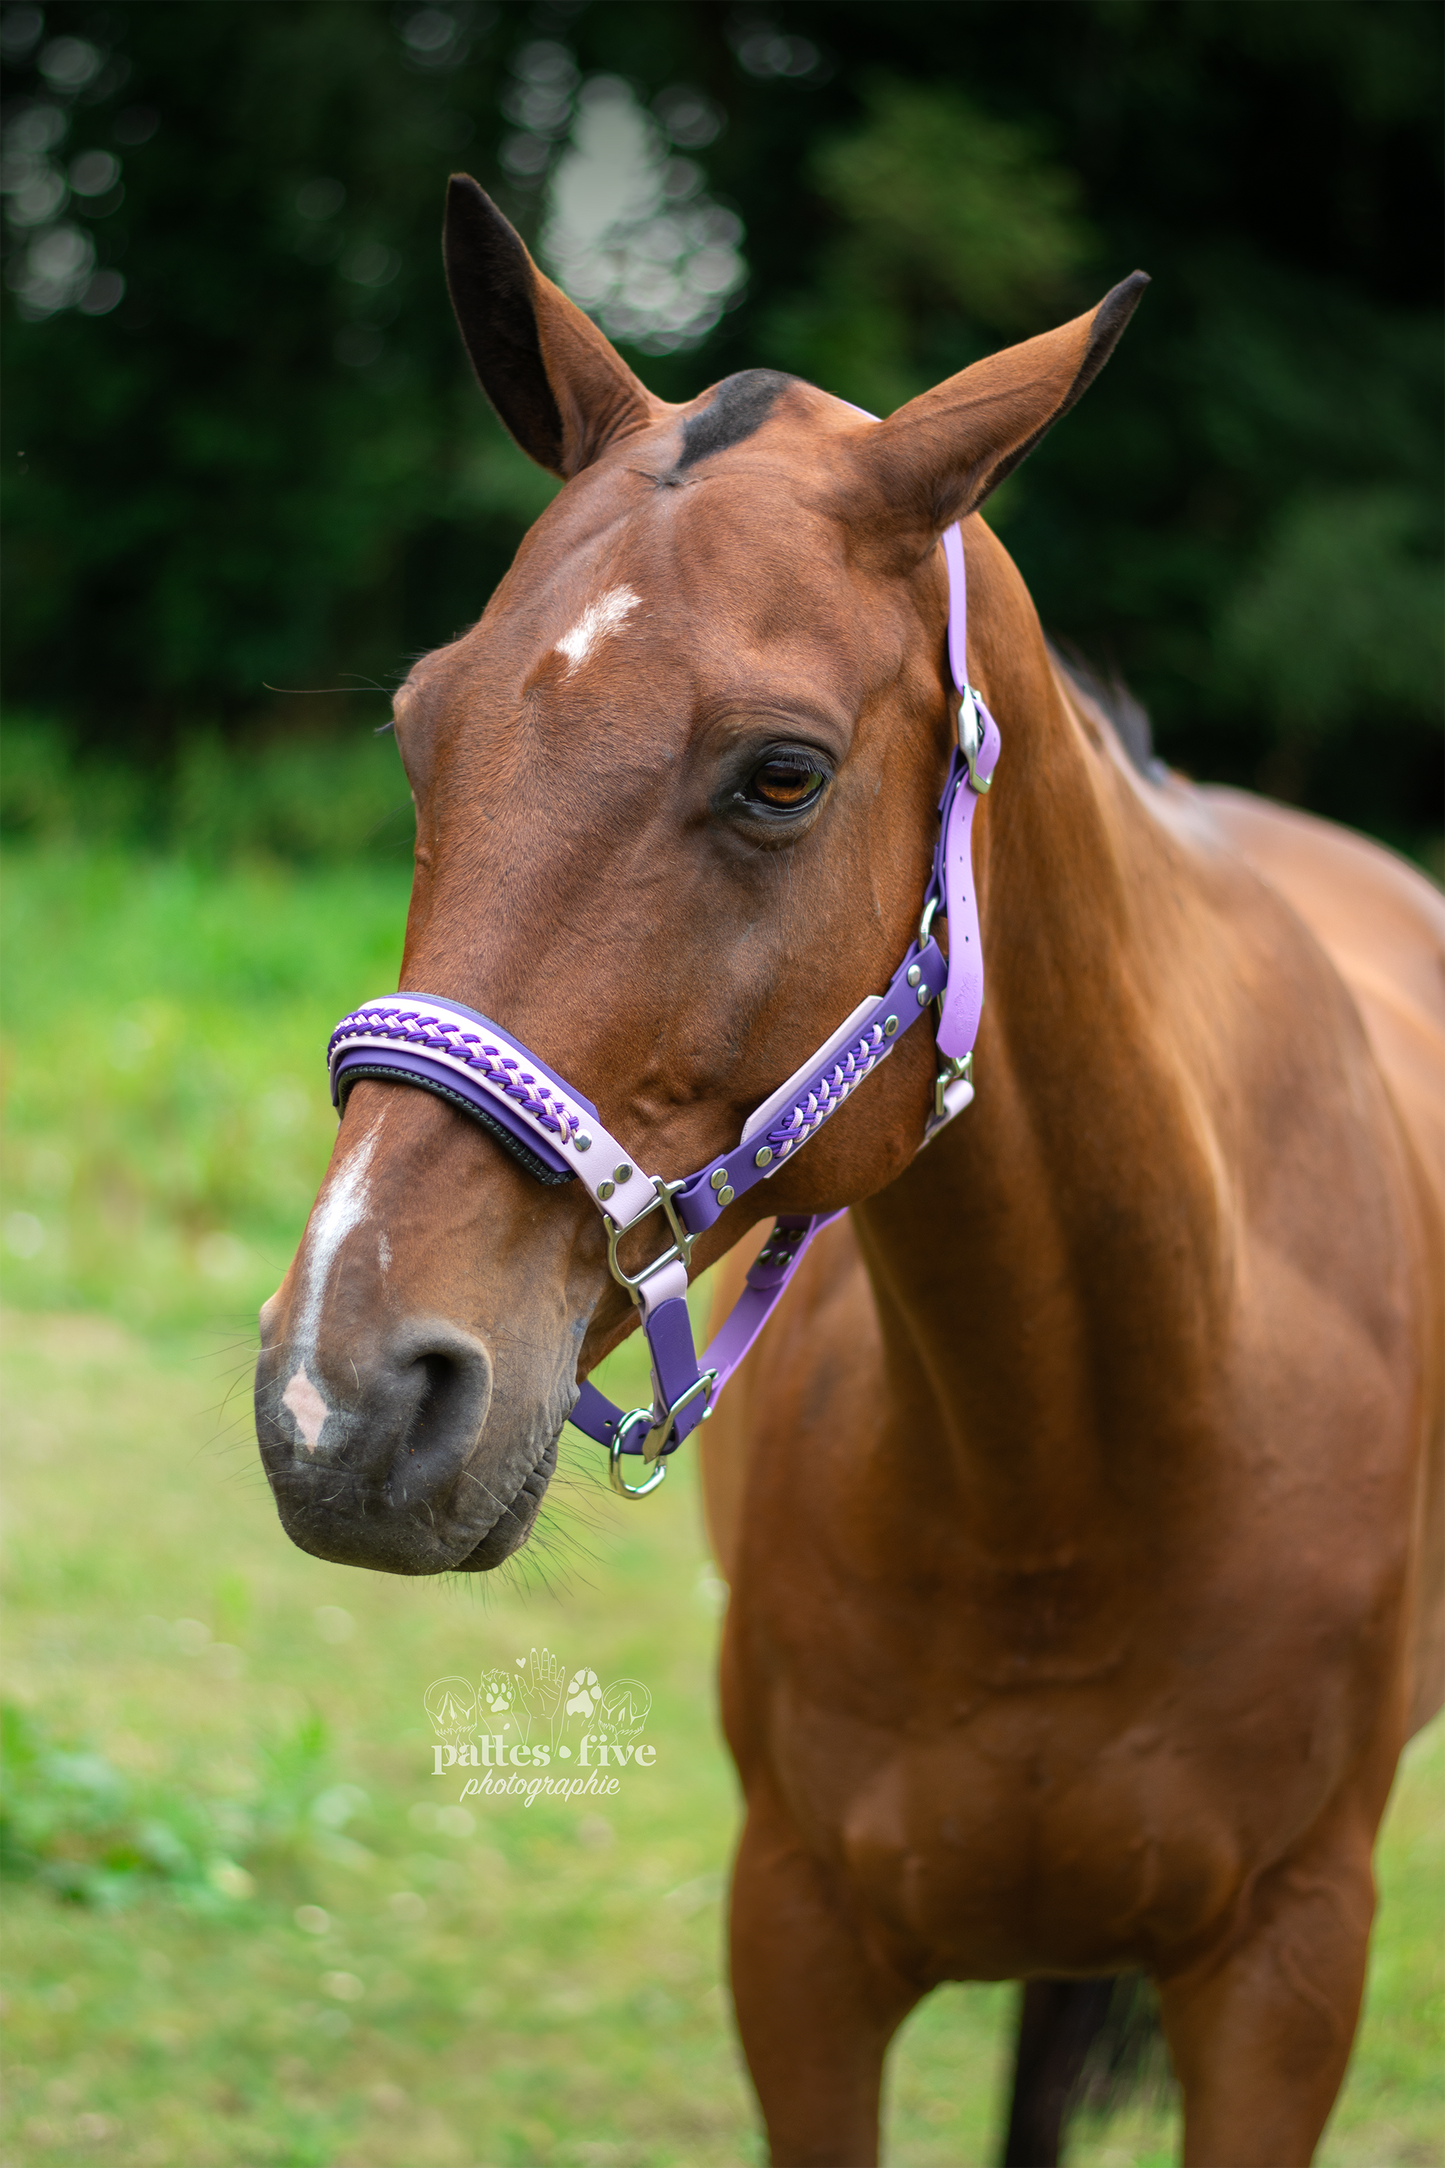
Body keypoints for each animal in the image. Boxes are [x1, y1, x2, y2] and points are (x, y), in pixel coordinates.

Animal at [253, 176, 1445, 2167]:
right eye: (424, 728)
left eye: (783, 776)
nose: (342, 1405)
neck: (1069, 1477)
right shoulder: (798, 1945)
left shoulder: (1288, 1973)